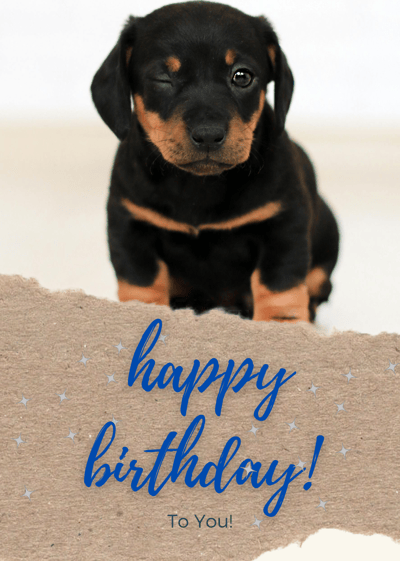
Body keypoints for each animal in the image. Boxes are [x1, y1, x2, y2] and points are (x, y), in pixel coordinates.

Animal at [92, 0, 340, 322]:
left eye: (242, 76)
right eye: (163, 78)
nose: (208, 135)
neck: (199, 186)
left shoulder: (283, 223)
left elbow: (279, 286)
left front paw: (281, 325)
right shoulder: (131, 224)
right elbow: (141, 283)